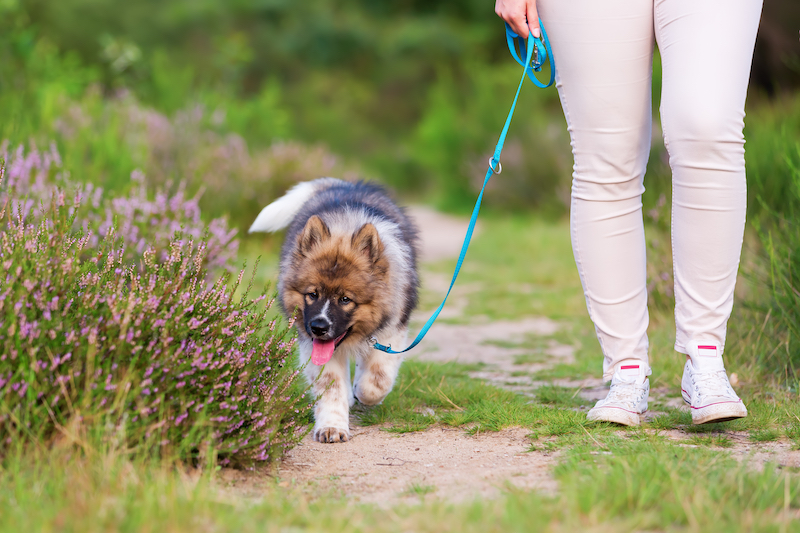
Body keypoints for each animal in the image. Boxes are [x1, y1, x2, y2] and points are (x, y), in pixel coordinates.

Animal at [252, 178, 422, 440]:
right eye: (312, 294)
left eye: (345, 299)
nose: (318, 327)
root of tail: (343, 183)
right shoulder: (313, 346)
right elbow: (330, 386)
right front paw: (332, 427)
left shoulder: (392, 330)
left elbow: (376, 380)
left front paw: (362, 392)